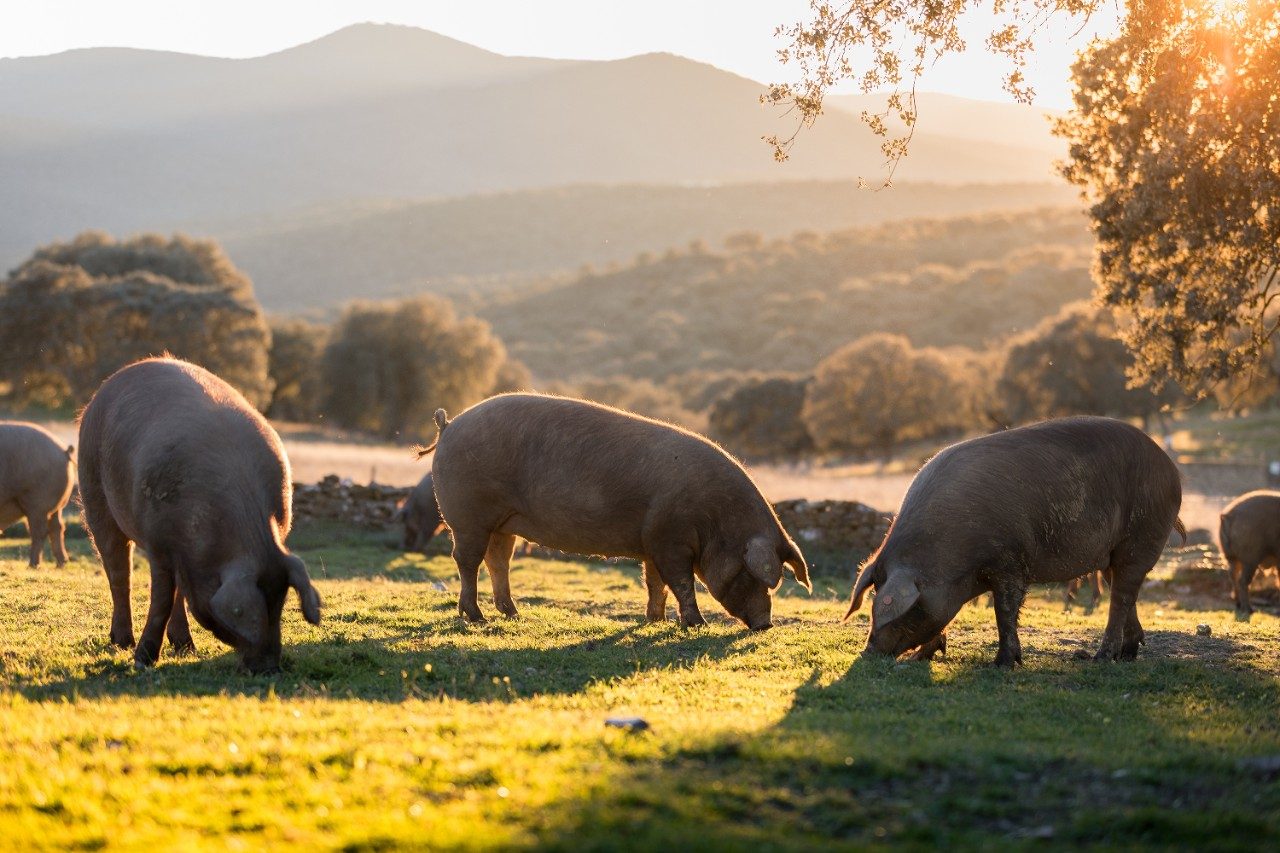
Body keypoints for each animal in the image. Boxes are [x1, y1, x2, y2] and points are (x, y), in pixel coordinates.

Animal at [0, 422, 75, 568]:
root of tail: (63, 451)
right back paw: (61, 564)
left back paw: (33, 565)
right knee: (57, 527)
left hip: (38, 502)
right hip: (56, 506)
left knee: (39, 532)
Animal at [78, 356, 322, 666]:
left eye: (279, 604)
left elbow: (176, 595)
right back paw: (122, 642)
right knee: (119, 572)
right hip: (93, 490)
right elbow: (161, 599)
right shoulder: (158, 542)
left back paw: (185, 647)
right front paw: (143, 660)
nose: (269, 668)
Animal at [422, 391, 808, 625]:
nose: (765, 625)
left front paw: (655, 621)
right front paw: (695, 624)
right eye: (750, 573)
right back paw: (476, 617)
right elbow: (681, 582)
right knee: (467, 561)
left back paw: (514, 615)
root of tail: (448, 425)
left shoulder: (652, 541)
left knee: (498, 561)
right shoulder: (670, 539)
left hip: (502, 522)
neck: (715, 519)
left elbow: (655, 583)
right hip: (467, 516)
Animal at [844, 417, 1182, 666]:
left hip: (1141, 536)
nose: (868, 651)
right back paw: (1126, 655)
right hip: (1113, 553)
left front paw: (1003, 664)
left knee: (1122, 596)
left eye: (908, 610)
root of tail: (1170, 468)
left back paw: (1099, 658)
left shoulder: (1009, 561)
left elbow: (1004, 611)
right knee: (1124, 592)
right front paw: (924, 655)